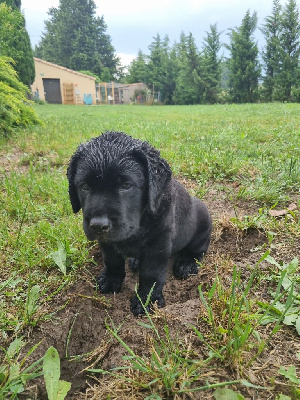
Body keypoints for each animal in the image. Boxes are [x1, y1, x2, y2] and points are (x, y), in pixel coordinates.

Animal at [67, 131, 213, 316]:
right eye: (84, 186)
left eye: (126, 185)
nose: (98, 225)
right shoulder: (107, 242)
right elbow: (112, 260)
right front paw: (111, 279)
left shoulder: (158, 244)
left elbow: (151, 274)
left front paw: (146, 300)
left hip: (202, 220)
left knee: (199, 250)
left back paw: (187, 263)